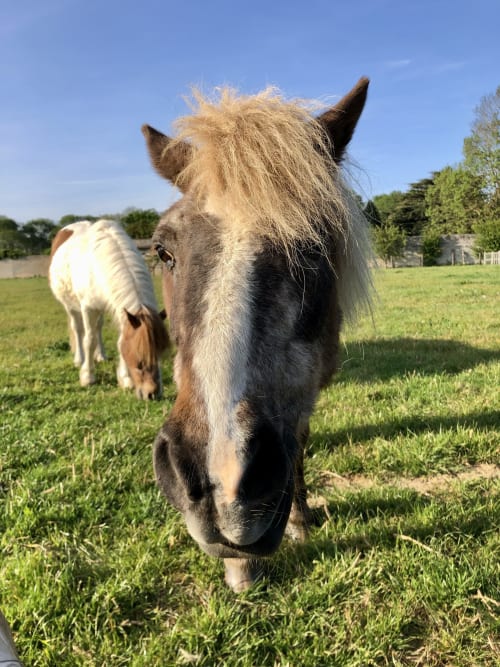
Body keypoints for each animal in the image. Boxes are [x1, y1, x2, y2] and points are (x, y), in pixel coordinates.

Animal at [49, 219, 169, 399]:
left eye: (160, 355)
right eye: (140, 362)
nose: (153, 394)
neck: (97, 266)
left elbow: (119, 342)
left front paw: (125, 379)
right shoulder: (88, 308)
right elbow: (89, 340)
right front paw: (88, 376)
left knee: (98, 328)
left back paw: (101, 356)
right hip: (70, 306)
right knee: (78, 329)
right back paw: (79, 359)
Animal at [142, 78, 373, 590]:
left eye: (313, 247)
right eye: (164, 251)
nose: (218, 477)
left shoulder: (306, 389)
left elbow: (299, 442)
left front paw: (300, 522)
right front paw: (240, 566)